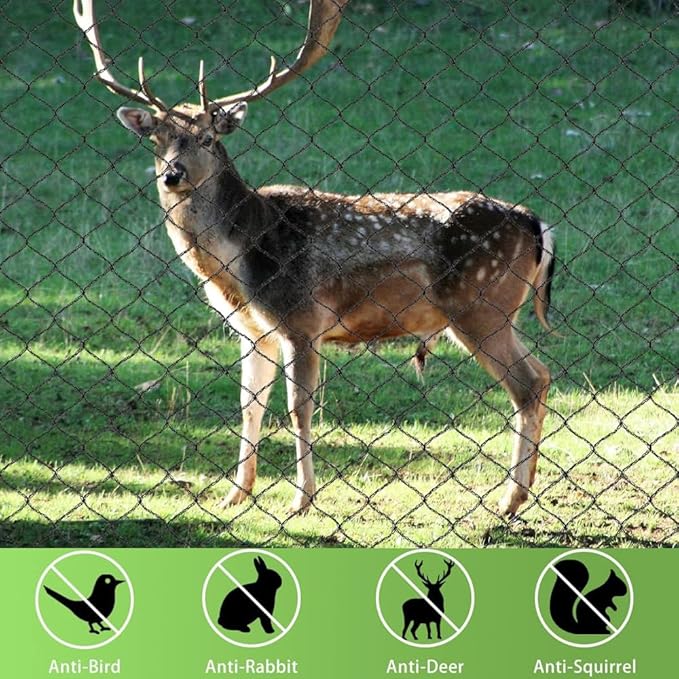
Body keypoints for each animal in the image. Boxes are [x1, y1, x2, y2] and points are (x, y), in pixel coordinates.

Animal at [73, 0, 554, 518]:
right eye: (157, 138)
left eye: (206, 137)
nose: (172, 175)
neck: (239, 264)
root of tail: (534, 223)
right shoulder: (254, 330)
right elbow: (249, 405)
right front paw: (235, 493)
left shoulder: (301, 321)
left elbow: (297, 408)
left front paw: (301, 498)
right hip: (498, 312)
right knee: (544, 374)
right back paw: (520, 491)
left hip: (478, 305)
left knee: (526, 385)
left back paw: (509, 500)